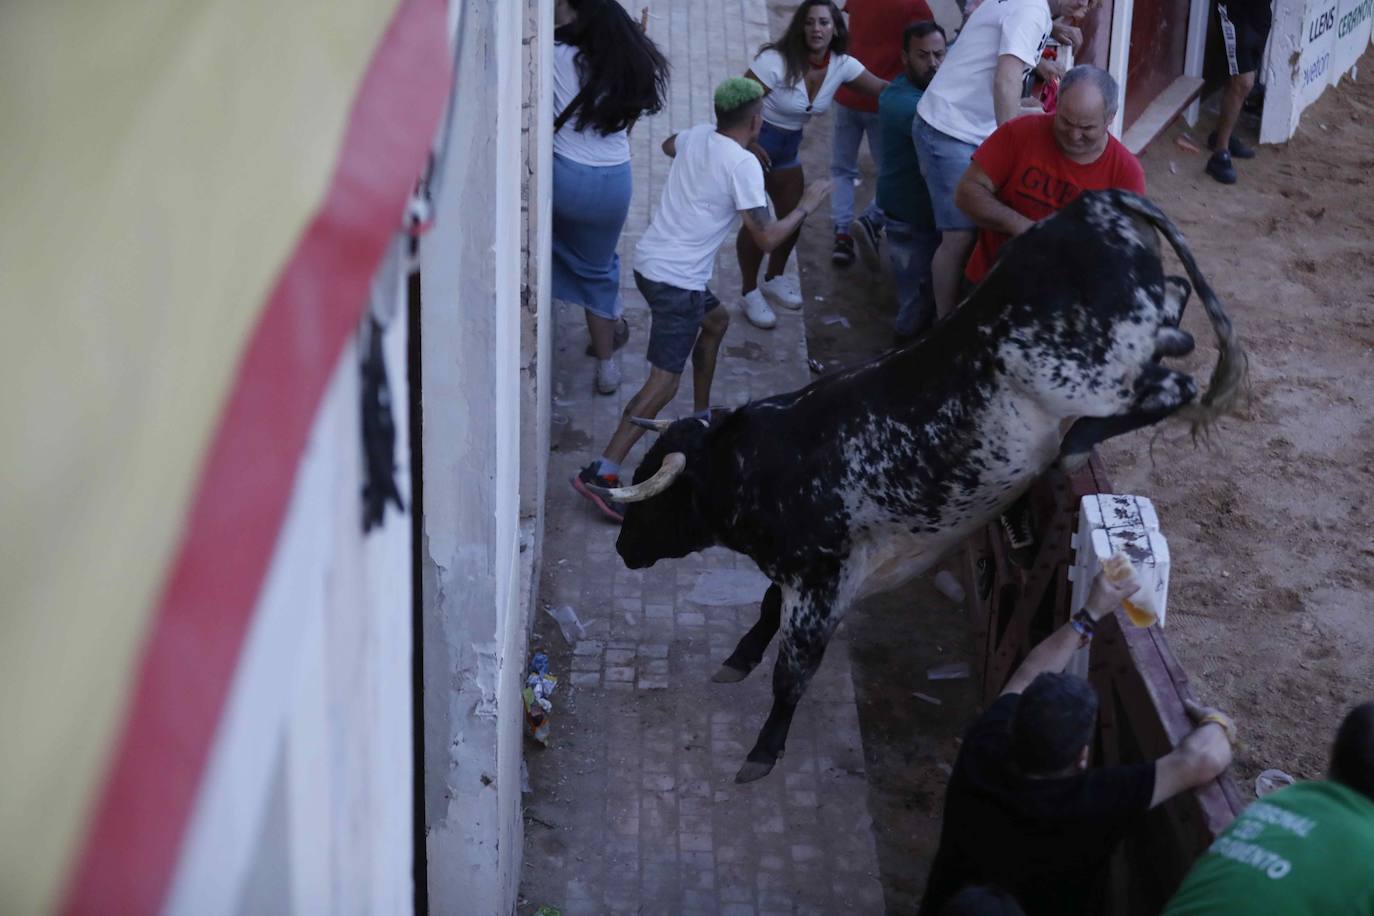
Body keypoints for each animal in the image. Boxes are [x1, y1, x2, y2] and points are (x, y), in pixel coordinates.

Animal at [590, 189, 1247, 785]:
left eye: (658, 492)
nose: (621, 548)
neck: (767, 461)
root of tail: (1099, 202)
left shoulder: (821, 582)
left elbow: (791, 670)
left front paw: (761, 752)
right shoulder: (806, 575)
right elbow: (767, 608)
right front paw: (738, 659)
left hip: (1095, 375)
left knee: (1175, 387)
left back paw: (1080, 441)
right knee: (1178, 309)